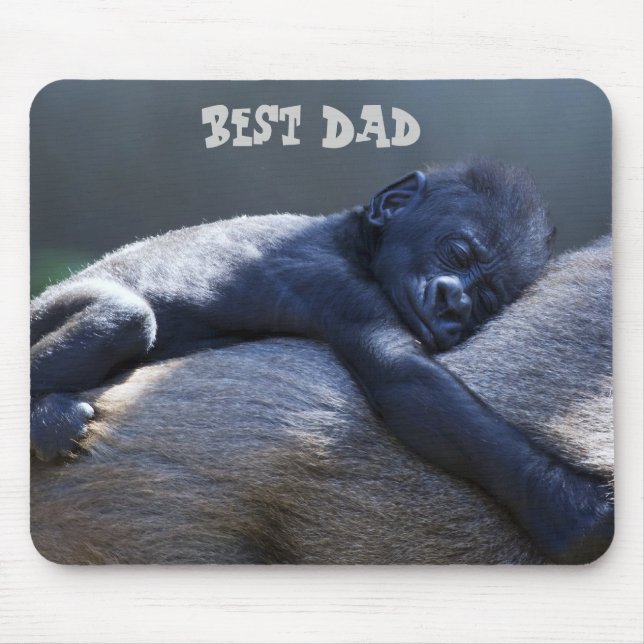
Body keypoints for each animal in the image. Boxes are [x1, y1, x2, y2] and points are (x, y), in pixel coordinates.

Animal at [30, 159, 612, 563]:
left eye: (487, 299)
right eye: (458, 253)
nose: (453, 304)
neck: (355, 238)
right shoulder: (337, 282)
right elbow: (406, 380)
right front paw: (577, 511)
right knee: (124, 316)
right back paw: (45, 418)